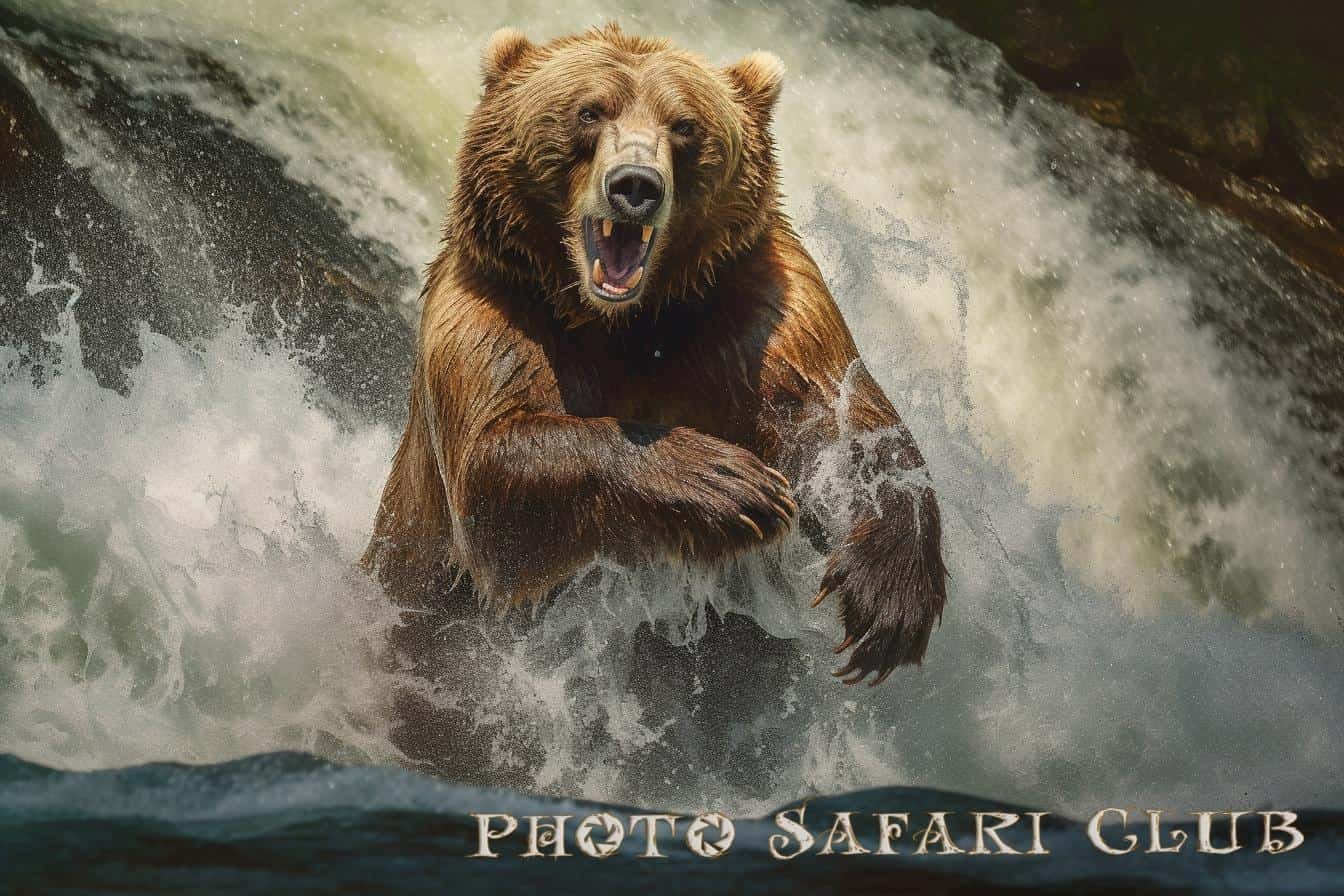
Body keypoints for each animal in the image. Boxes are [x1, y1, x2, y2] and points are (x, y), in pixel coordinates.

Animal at [363, 23, 947, 691]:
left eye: (684, 124)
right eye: (590, 110)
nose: (636, 186)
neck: (621, 322)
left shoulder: (757, 309)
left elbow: (837, 421)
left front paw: (889, 591)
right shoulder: (490, 307)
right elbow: (493, 465)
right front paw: (730, 482)